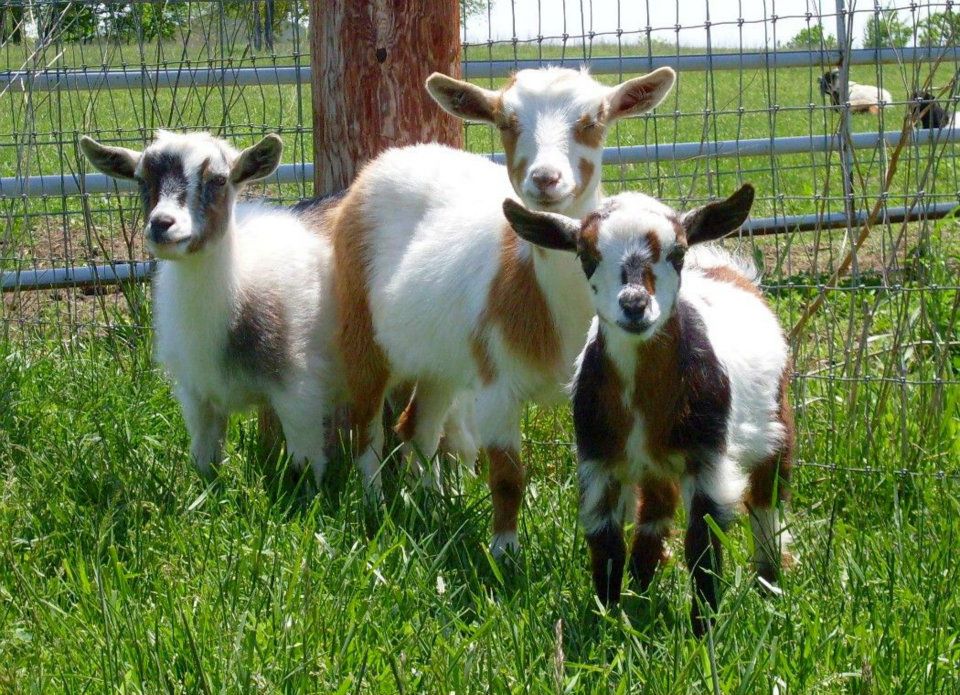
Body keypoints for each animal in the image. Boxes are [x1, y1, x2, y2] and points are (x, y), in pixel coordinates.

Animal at [80, 130, 344, 488]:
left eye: (219, 180)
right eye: (140, 179)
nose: (162, 224)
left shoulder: (299, 389)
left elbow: (305, 468)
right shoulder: (197, 396)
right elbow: (204, 463)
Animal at [331, 66, 676, 554]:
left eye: (593, 120)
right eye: (506, 122)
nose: (546, 178)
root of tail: (391, 159)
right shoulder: (497, 387)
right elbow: (508, 477)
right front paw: (504, 556)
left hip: (442, 361)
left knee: (417, 426)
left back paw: (433, 505)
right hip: (361, 330)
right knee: (367, 428)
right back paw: (373, 506)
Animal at [502, 184, 794, 636]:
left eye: (677, 252)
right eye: (586, 255)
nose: (635, 304)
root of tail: (730, 272)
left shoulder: (707, 458)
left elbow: (702, 544)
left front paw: (703, 630)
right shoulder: (598, 460)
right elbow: (606, 542)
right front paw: (608, 618)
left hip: (776, 420)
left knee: (766, 503)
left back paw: (769, 586)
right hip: (656, 465)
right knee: (655, 512)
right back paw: (642, 584)